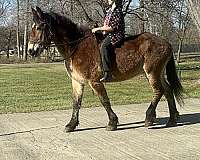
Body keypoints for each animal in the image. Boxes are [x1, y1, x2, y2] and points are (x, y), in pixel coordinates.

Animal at [28, 6, 184, 132]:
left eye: (39, 27)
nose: (30, 50)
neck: (76, 46)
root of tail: (166, 42)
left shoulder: (95, 81)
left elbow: (104, 100)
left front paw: (112, 123)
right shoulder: (77, 81)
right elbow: (76, 102)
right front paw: (71, 125)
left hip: (151, 72)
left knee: (158, 91)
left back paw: (149, 118)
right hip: (157, 73)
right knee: (168, 90)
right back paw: (172, 120)